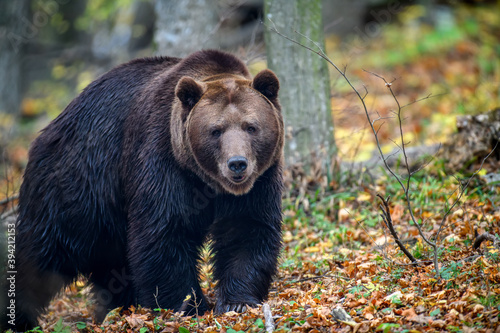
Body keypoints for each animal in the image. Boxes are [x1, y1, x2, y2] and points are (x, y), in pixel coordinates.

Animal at [2, 48, 286, 330]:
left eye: (251, 126)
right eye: (215, 130)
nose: (237, 163)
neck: (207, 182)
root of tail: (49, 129)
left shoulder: (259, 182)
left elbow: (246, 230)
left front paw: (237, 302)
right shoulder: (161, 159)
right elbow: (163, 233)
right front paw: (187, 306)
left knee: (111, 266)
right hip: (75, 187)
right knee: (40, 253)